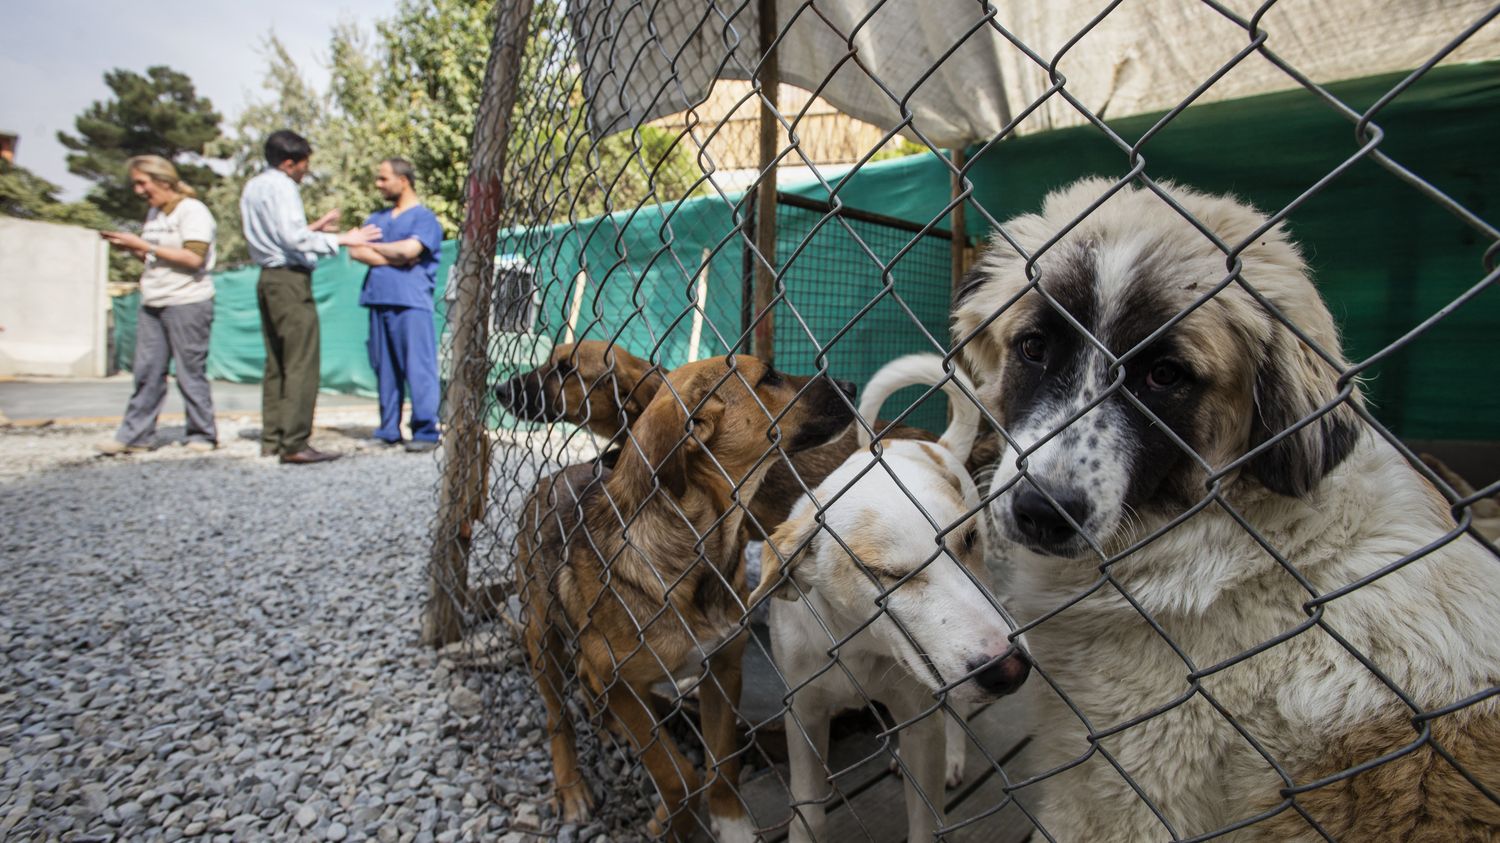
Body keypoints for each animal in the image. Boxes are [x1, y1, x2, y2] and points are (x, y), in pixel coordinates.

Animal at [513, 355, 852, 840]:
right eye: (768, 377)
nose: (851, 385)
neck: (698, 550)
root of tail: (553, 475)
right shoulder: (621, 682)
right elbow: (677, 775)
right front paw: (673, 821)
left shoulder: (723, 670)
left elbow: (722, 764)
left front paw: (730, 822)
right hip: (542, 641)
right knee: (556, 715)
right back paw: (571, 786)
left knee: (587, 680)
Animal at [750, 354, 1032, 840]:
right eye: (887, 575)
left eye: (969, 539)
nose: (1011, 669)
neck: (859, 647)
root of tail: (934, 443)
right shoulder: (803, 715)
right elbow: (808, 810)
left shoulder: (921, 721)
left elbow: (925, 820)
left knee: (956, 716)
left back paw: (953, 756)